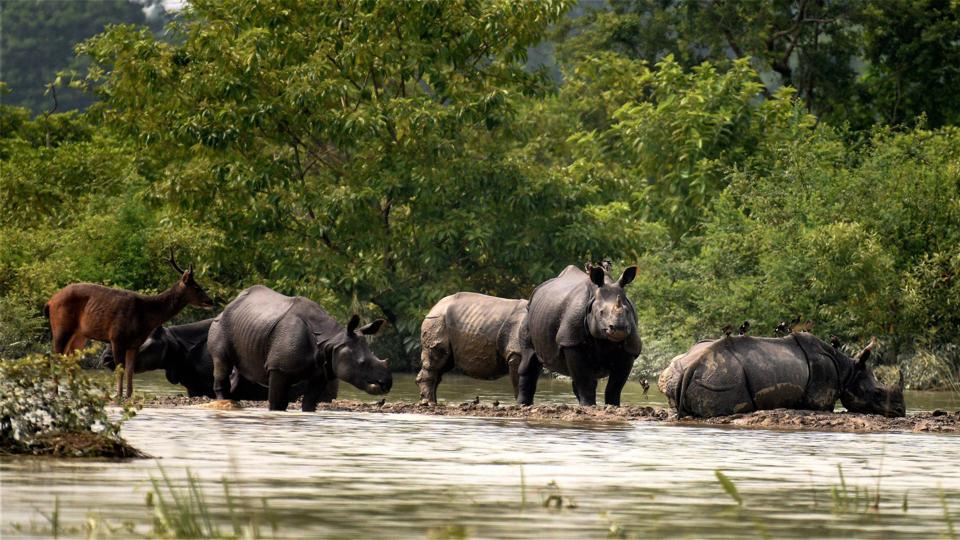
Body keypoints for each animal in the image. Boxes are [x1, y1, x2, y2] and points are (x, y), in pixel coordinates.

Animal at [208, 285, 391, 411]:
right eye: (362, 363)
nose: (387, 384)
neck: (332, 339)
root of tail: (229, 305)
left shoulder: (321, 371)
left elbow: (309, 403)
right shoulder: (278, 367)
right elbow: (277, 403)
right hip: (221, 324)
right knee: (222, 361)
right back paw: (226, 403)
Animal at [519, 264, 641, 406]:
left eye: (627, 311)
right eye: (601, 312)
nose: (619, 328)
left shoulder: (630, 347)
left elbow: (616, 385)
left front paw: (613, 405)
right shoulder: (571, 341)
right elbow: (583, 379)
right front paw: (588, 405)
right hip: (528, 314)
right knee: (528, 361)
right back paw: (523, 405)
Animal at [658, 333, 906, 418]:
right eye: (877, 392)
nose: (900, 412)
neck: (848, 371)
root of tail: (692, 367)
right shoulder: (820, 398)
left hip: (685, 371)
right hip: (720, 377)